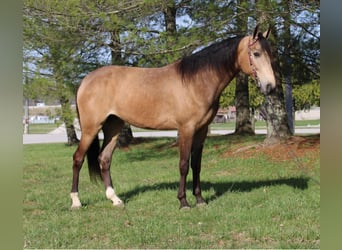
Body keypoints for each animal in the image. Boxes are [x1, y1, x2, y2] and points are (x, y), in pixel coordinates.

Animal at [71, 25, 276, 209]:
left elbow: (196, 165)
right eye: (256, 53)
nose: (270, 86)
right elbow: (184, 164)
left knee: (104, 160)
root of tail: (85, 80)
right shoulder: (186, 129)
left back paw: (115, 200)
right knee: (78, 159)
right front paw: (183, 202)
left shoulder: (201, 131)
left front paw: (200, 200)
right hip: (91, 128)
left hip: (113, 127)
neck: (196, 81)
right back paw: (76, 202)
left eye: (270, 53)